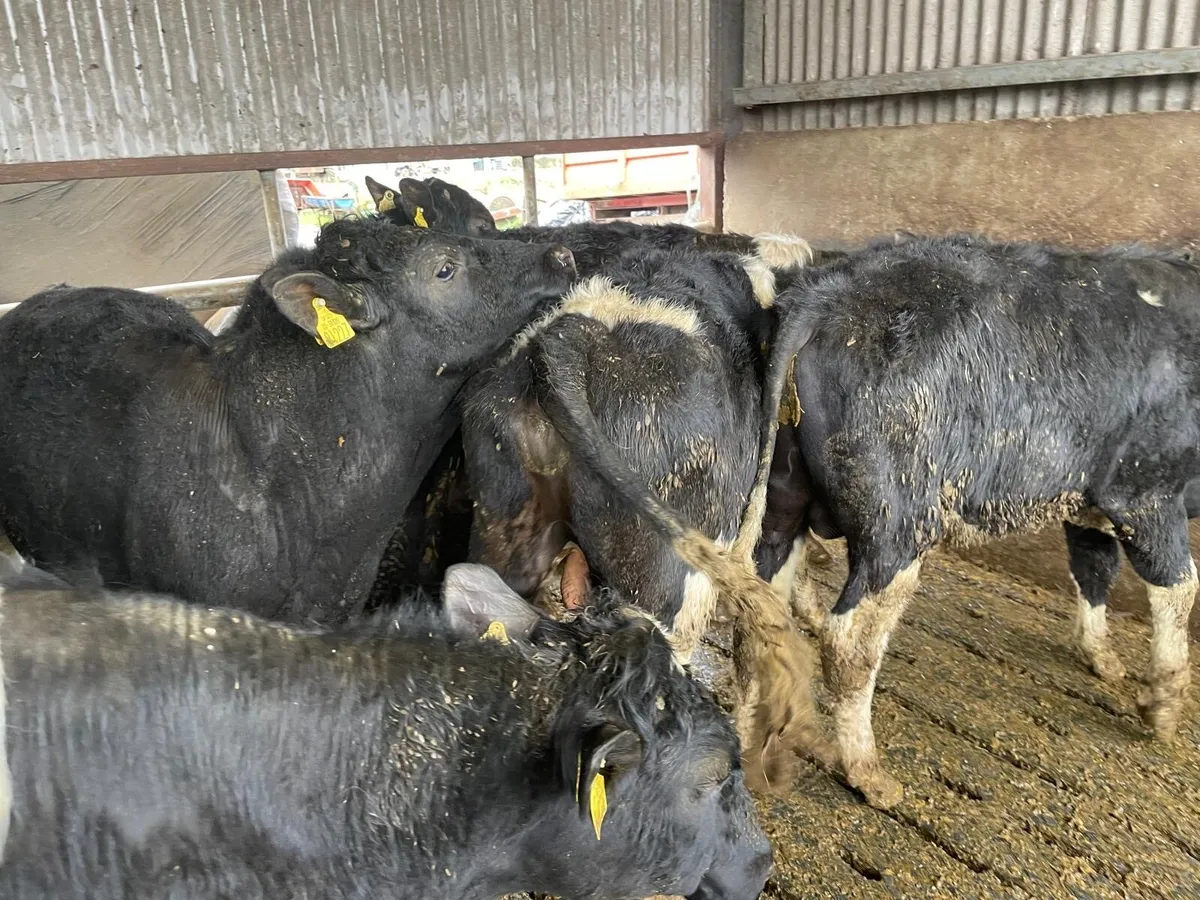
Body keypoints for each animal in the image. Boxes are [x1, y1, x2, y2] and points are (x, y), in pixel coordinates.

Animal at [756, 233, 1200, 809]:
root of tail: (825, 296)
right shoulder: (1147, 490)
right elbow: (1178, 589)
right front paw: (1163, 707)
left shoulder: (1086, 503)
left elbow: (1093, 570)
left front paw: (1102, 657)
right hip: (897, 522)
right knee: (849, 638)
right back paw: (870, 774)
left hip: (783, 498)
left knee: (761, 601)